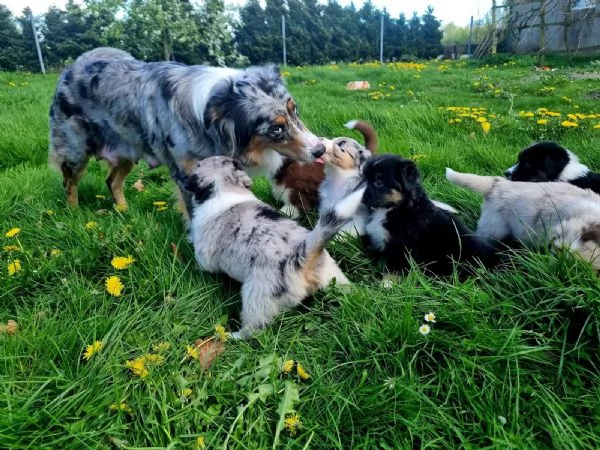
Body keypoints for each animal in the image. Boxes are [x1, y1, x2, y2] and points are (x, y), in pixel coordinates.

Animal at [177, 156, 366, 338]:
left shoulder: (204, 255)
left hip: (256, 298)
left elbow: (202, 265)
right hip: (333, 275)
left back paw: (232, 335)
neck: (225, 187)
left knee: (252, 330)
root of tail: (302, 255)